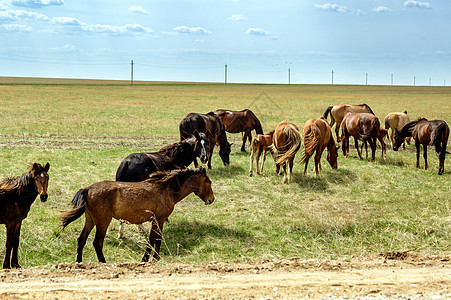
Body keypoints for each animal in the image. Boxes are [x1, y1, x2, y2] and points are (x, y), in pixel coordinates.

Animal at [60, 166, 215, 262]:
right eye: (208, 181)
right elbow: (153, 239)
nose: (211, 199)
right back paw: (103, 262)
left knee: (81, 240)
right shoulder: (159, 219)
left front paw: (155, 258)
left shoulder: (158, 220)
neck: (166, 189)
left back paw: (79, 263)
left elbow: (156, 239)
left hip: (90, 220)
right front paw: (147, 259)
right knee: (97, 243)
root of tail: (87, 189)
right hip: (103, 221)